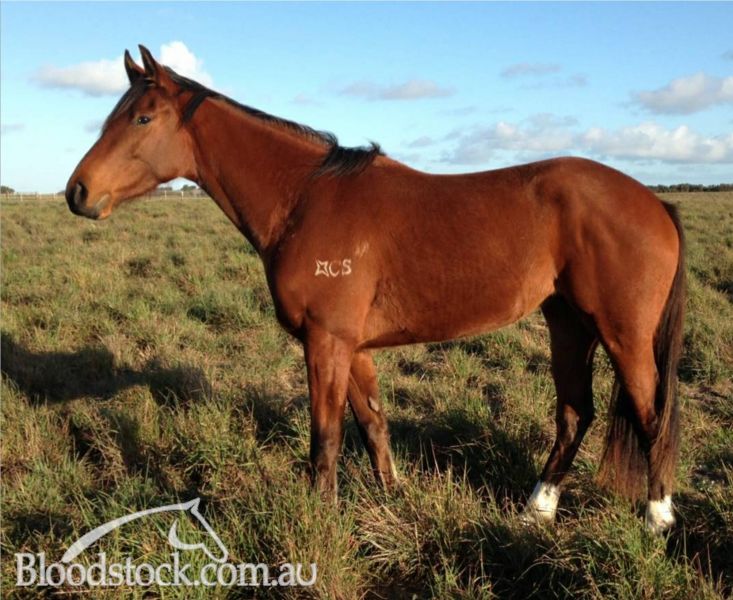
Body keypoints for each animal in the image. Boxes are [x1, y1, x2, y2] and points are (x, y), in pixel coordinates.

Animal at [65, 46, 685, 534]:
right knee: (575, 412)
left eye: (143, 118)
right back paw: (538, 508)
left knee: (651, 413)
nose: (78, 192)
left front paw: (319, 522)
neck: (306, 200)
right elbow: (373, 428)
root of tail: (655, 203)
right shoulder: (354, 347)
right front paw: (392, 501)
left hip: (623, 335)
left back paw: (657, 520)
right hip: (568, 324)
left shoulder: (326, 342)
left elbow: (326, 439)